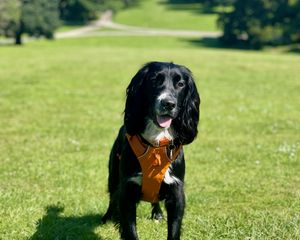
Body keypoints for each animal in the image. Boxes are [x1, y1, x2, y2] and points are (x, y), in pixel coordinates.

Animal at [102, 62, 200, 240]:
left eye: (180, 84)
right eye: (154, 80)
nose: (168, 103)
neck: (156, 144)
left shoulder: (176, 192)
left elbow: (174, 230)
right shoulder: (127, 190)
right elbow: (130, 230)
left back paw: (157, 213)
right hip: (113, 174)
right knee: (112, 196)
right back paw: (107, 217)